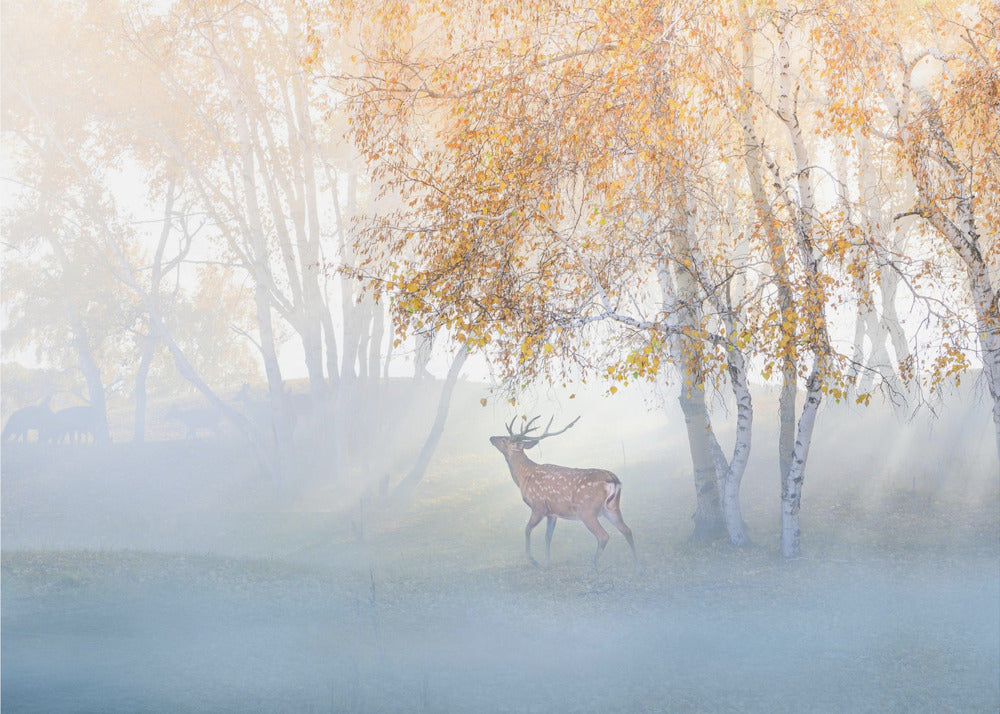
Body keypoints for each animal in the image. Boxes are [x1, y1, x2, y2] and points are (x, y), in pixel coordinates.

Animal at [490, 416, 636, 569]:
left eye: (504, 439)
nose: (491, 437)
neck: (524, 477)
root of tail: (613, 480)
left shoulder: (538, 506)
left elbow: (527, 529)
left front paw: (533, 560)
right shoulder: (552, 513)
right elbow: (548, 537)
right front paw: (547, 564)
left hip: (587, 511)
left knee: (603, 536)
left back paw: (594, 566)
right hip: (612, 508)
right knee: (627, 530)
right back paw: (637, 563)